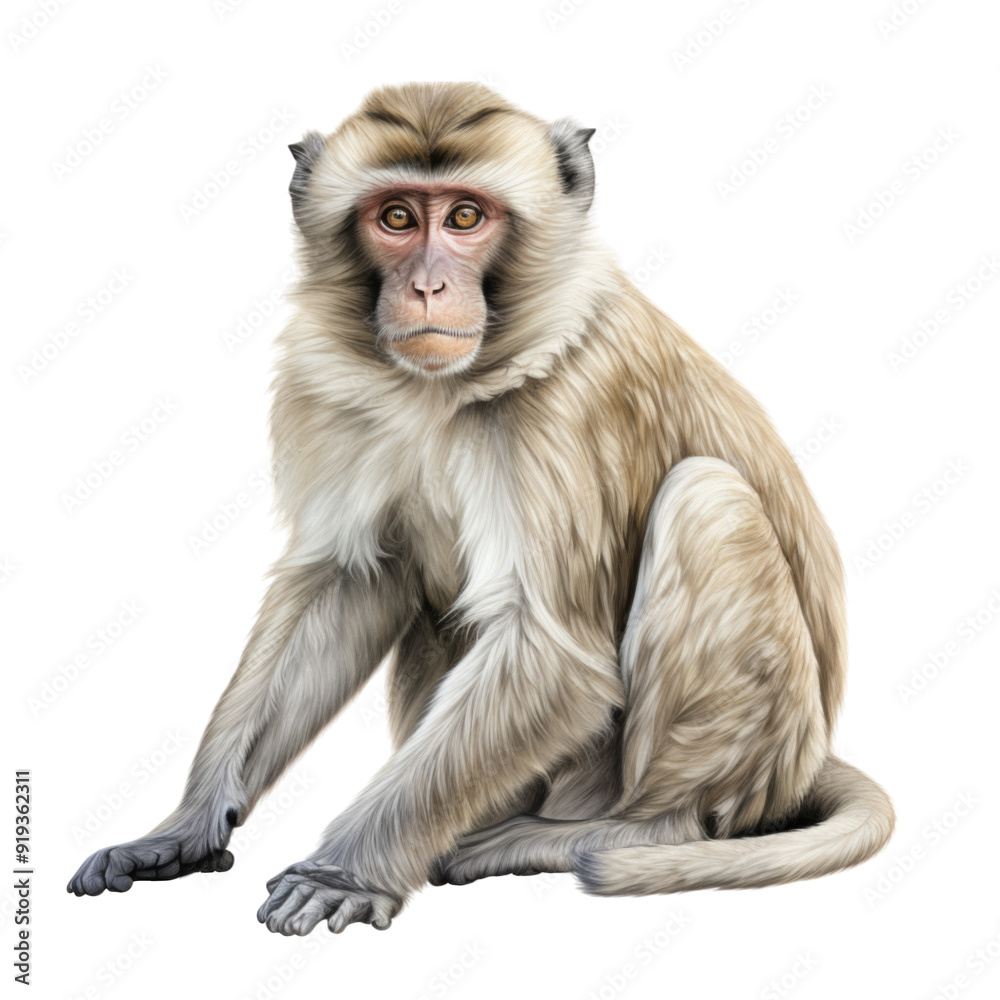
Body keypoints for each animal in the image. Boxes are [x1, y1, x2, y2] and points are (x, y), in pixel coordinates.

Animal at [68, 82, 895, 935]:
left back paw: (619, 831)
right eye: (398, 217)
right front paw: (186, 826)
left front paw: (342, 869)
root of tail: (803, 760)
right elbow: (349, 582)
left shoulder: (563, 410)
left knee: (707, 499)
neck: (439, 392)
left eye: (466, 217)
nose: (428, 286)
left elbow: (549, 652)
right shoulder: (329, 395)